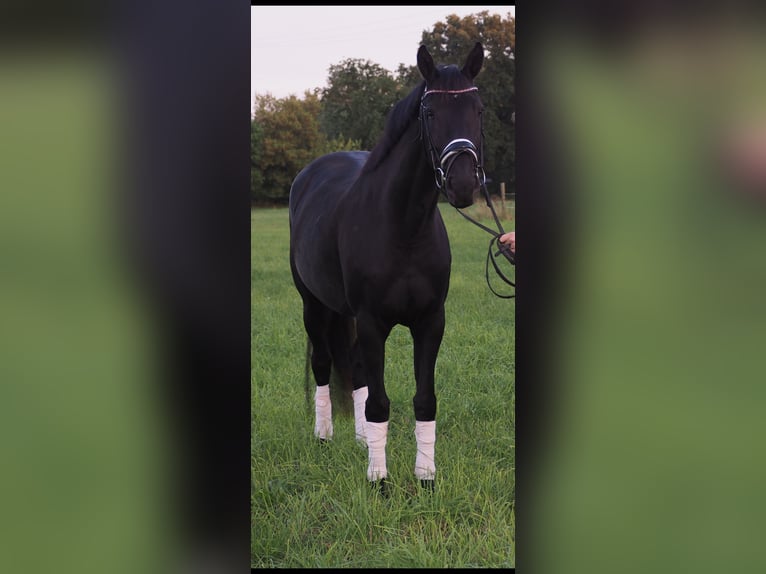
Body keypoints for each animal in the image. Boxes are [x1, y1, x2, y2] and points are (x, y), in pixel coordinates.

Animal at [288, 41, 486, 490]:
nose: (463, 184)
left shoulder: (431, 321)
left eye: (478, 109)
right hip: (314, 305)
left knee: (357, 367)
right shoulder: (373, 321)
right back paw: (324, 436)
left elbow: (424, 399)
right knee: (324, 364)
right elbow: (379, 402)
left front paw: (425, 477)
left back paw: (362, 440)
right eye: (430, 114)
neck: (403, 229)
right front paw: (379, 481)